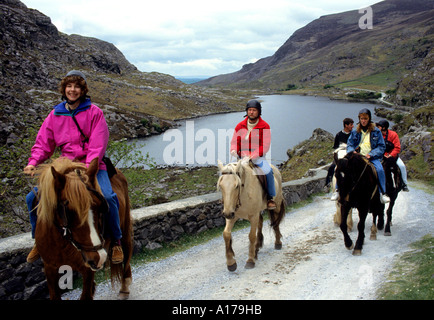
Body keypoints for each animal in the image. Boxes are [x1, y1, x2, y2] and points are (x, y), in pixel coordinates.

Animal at [34, 158, 132, 300]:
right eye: (69, 212)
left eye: (100, 207)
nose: (98, 257)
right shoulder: (49, 268)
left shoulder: (87, 269)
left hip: (124, 230)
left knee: (126, 251)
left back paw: (124, 287)